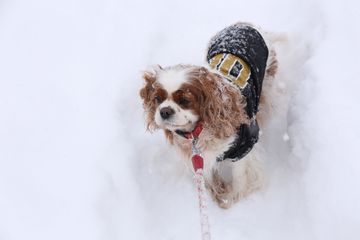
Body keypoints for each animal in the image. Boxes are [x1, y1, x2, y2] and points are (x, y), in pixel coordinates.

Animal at [140, 23, 278, 210]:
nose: (164, 111)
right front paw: (217, 193)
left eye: (185, 100)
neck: (198, 131)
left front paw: (231, 199)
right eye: (157, 99)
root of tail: (244, 24)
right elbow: (207, 176)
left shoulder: (244, 146)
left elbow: (241, 177)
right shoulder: (198, 157)